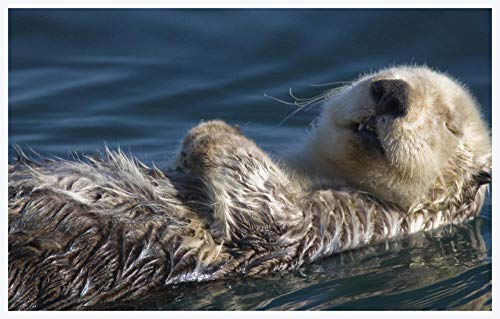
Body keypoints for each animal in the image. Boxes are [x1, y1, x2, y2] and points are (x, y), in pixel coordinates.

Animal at [8, 65, 492, 310]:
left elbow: (270, 216)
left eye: (448, 124)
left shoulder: (344, 221)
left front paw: (212, 132)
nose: (391, 91)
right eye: (388, 72)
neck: (313, 171)